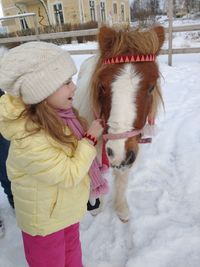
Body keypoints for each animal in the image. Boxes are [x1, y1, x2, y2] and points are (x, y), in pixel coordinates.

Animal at [74, 25, 165, 223]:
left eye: (151, 87)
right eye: (101, 86)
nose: (117, 152)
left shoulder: (130, 151)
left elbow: (122, 179)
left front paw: (121, 209)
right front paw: (96, 205)